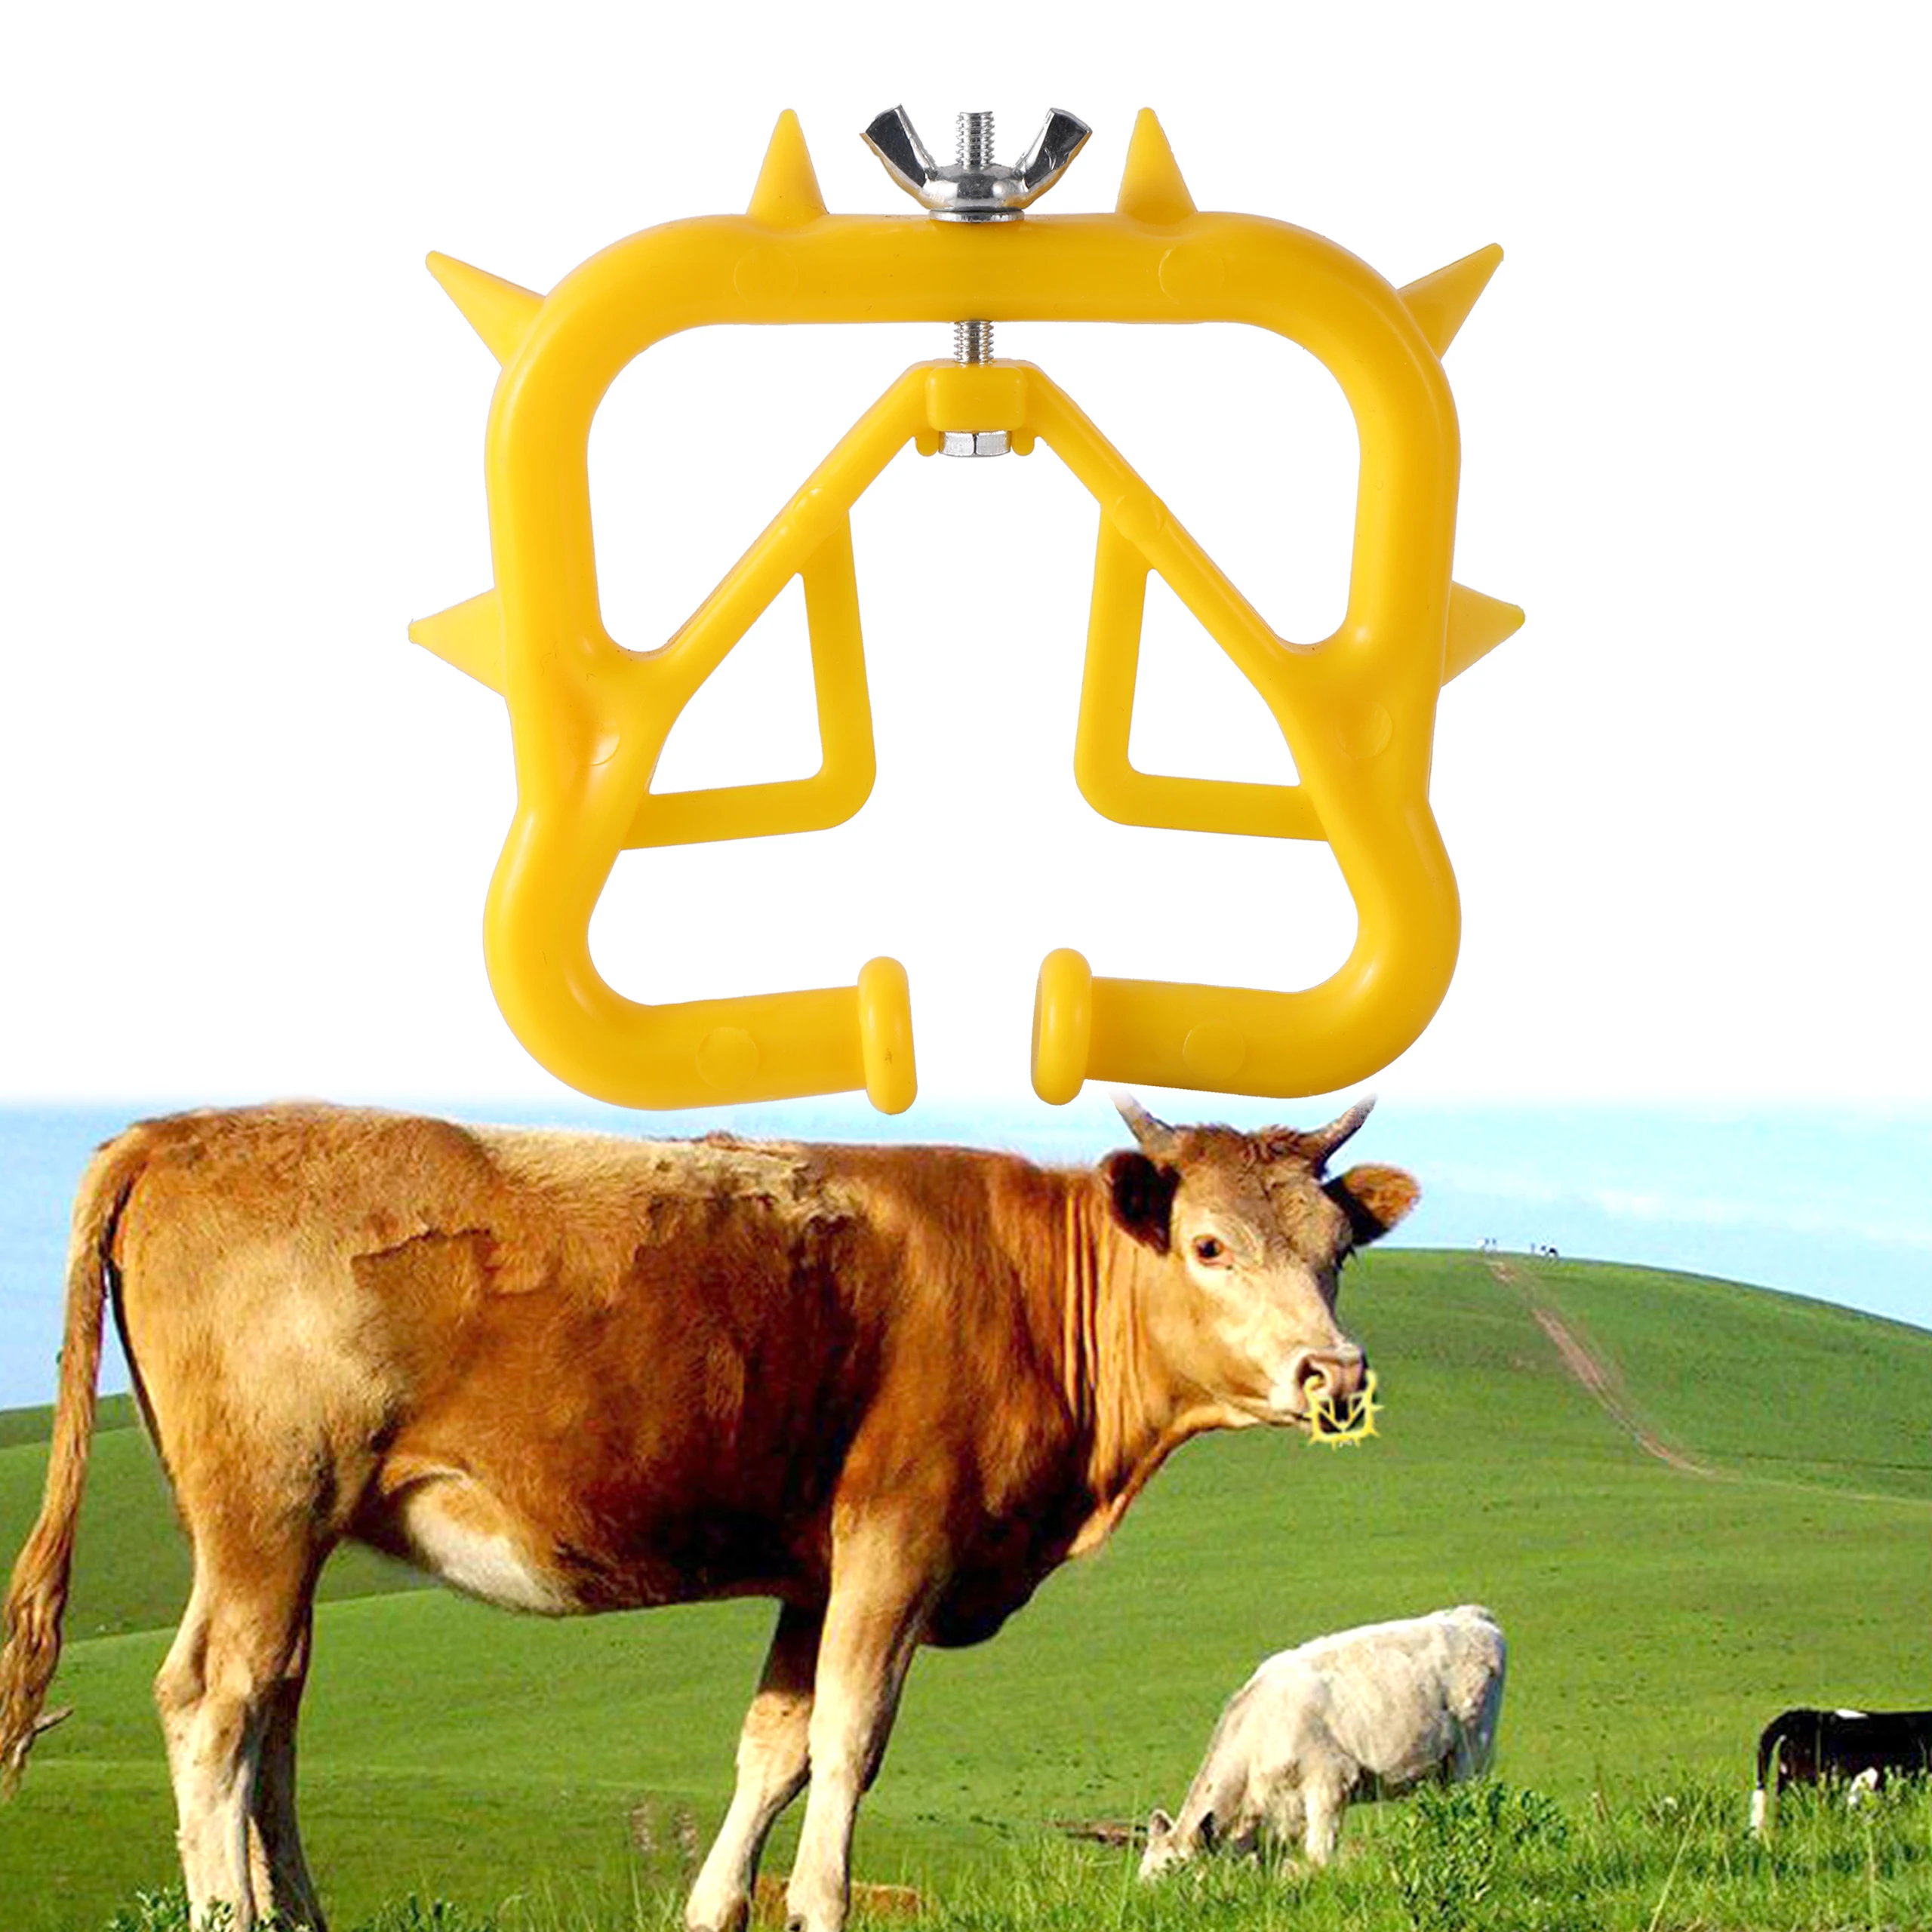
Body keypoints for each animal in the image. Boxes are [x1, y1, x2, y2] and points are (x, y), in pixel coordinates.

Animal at [0, 1094, 1417, 1932]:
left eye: (1337, 1252)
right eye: (1211, 1245)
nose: (1335, 1373)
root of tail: (182, 1127)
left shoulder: (814, 1569)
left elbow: (771, 1749)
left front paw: (717, 1906)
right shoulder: (897, 1538)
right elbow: (849, 1741)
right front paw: (821, 1905)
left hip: (285, 1530)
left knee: (276, 1709)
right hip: (269, 1505)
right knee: (213, 1702)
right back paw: (230, 1914)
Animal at [1140, 1605, 1506, 1878]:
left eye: (1174, 1872)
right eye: (1145, 1876)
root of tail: (1474, 1617)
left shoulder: (1330, 1782)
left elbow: (1319, 1856)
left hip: (1472, 1752)